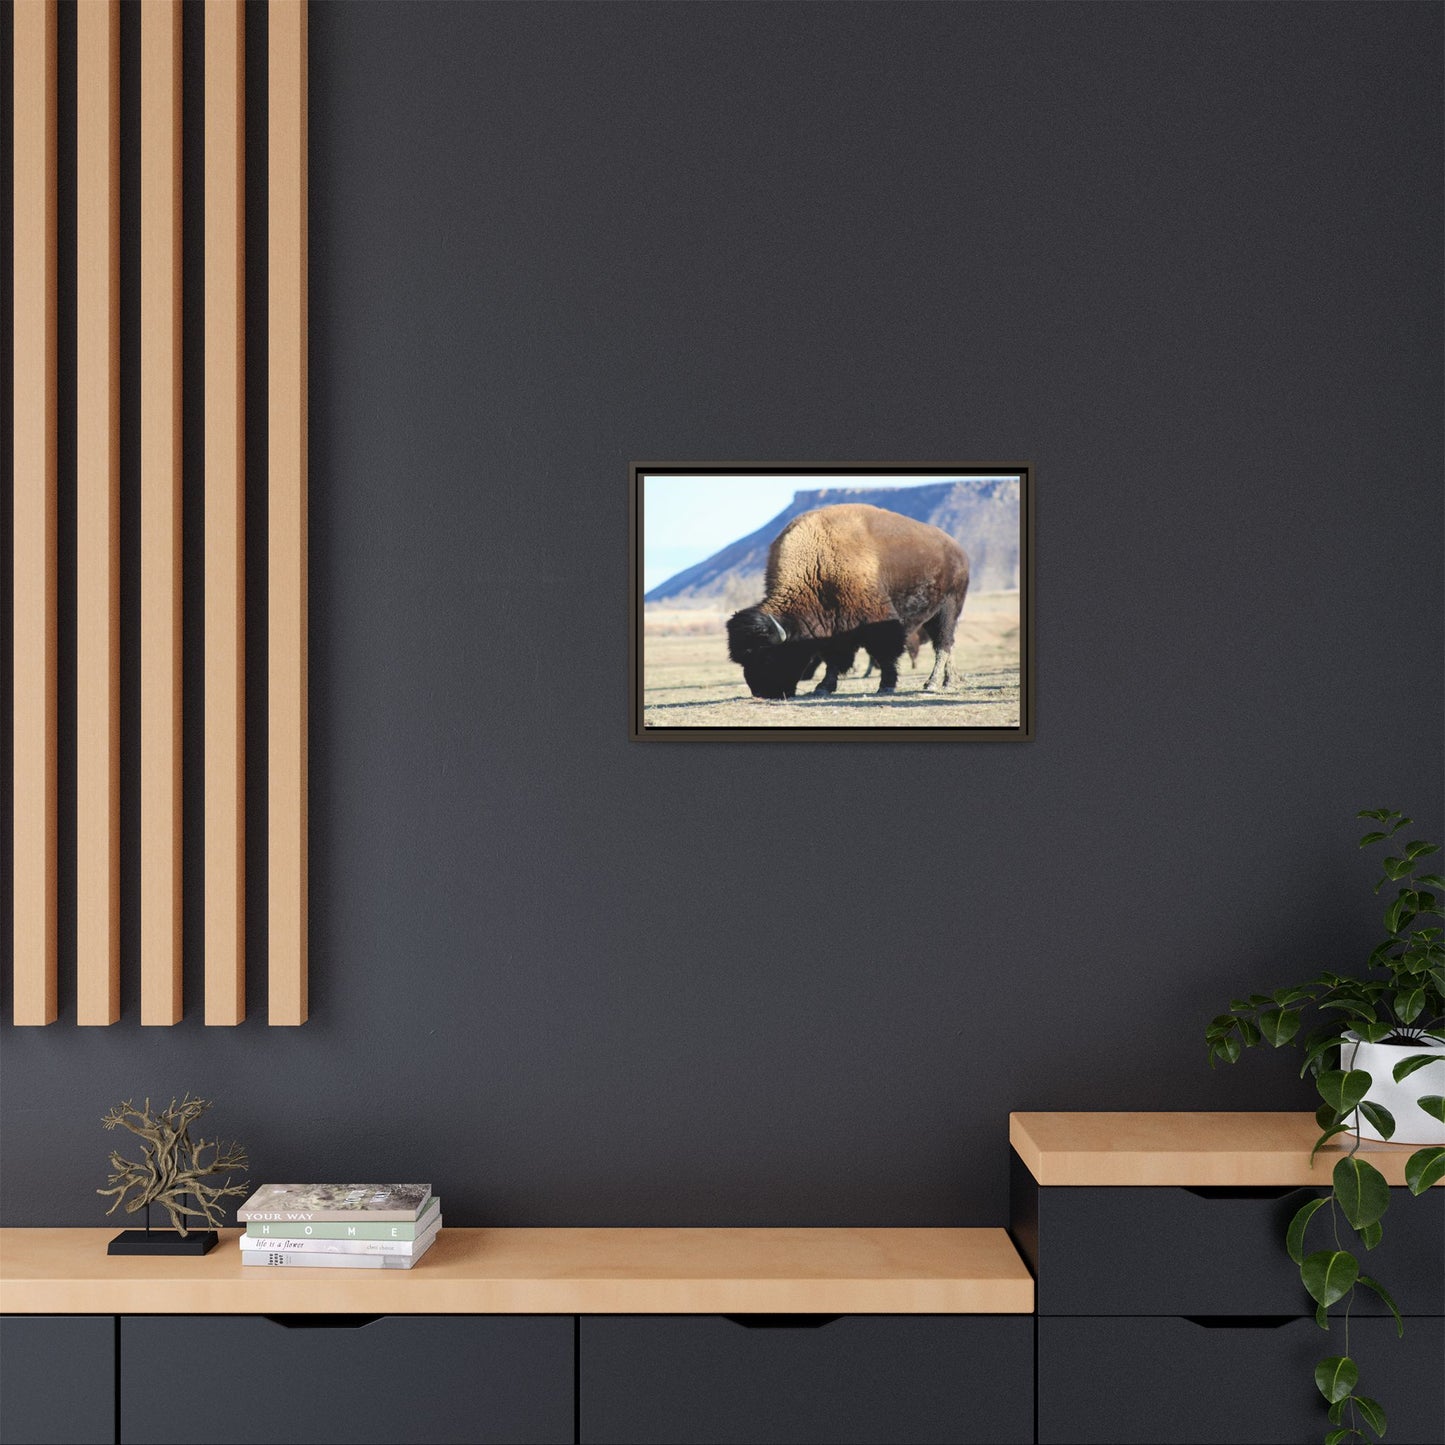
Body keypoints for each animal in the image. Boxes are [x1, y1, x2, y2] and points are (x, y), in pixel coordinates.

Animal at [725, 503, 969, 700]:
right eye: (743, 660)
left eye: (766, 656)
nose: (762, 692)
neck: (817, 565)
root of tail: (957, 550)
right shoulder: (833, 628)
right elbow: (833, 659)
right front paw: (823, 687)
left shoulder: (878, 621)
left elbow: (885, 653)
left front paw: (886, 686)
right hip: (932, 614)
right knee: (947, 644)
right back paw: (950, 680)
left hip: (948, 609)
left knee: (943, 644)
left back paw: (933, 683)